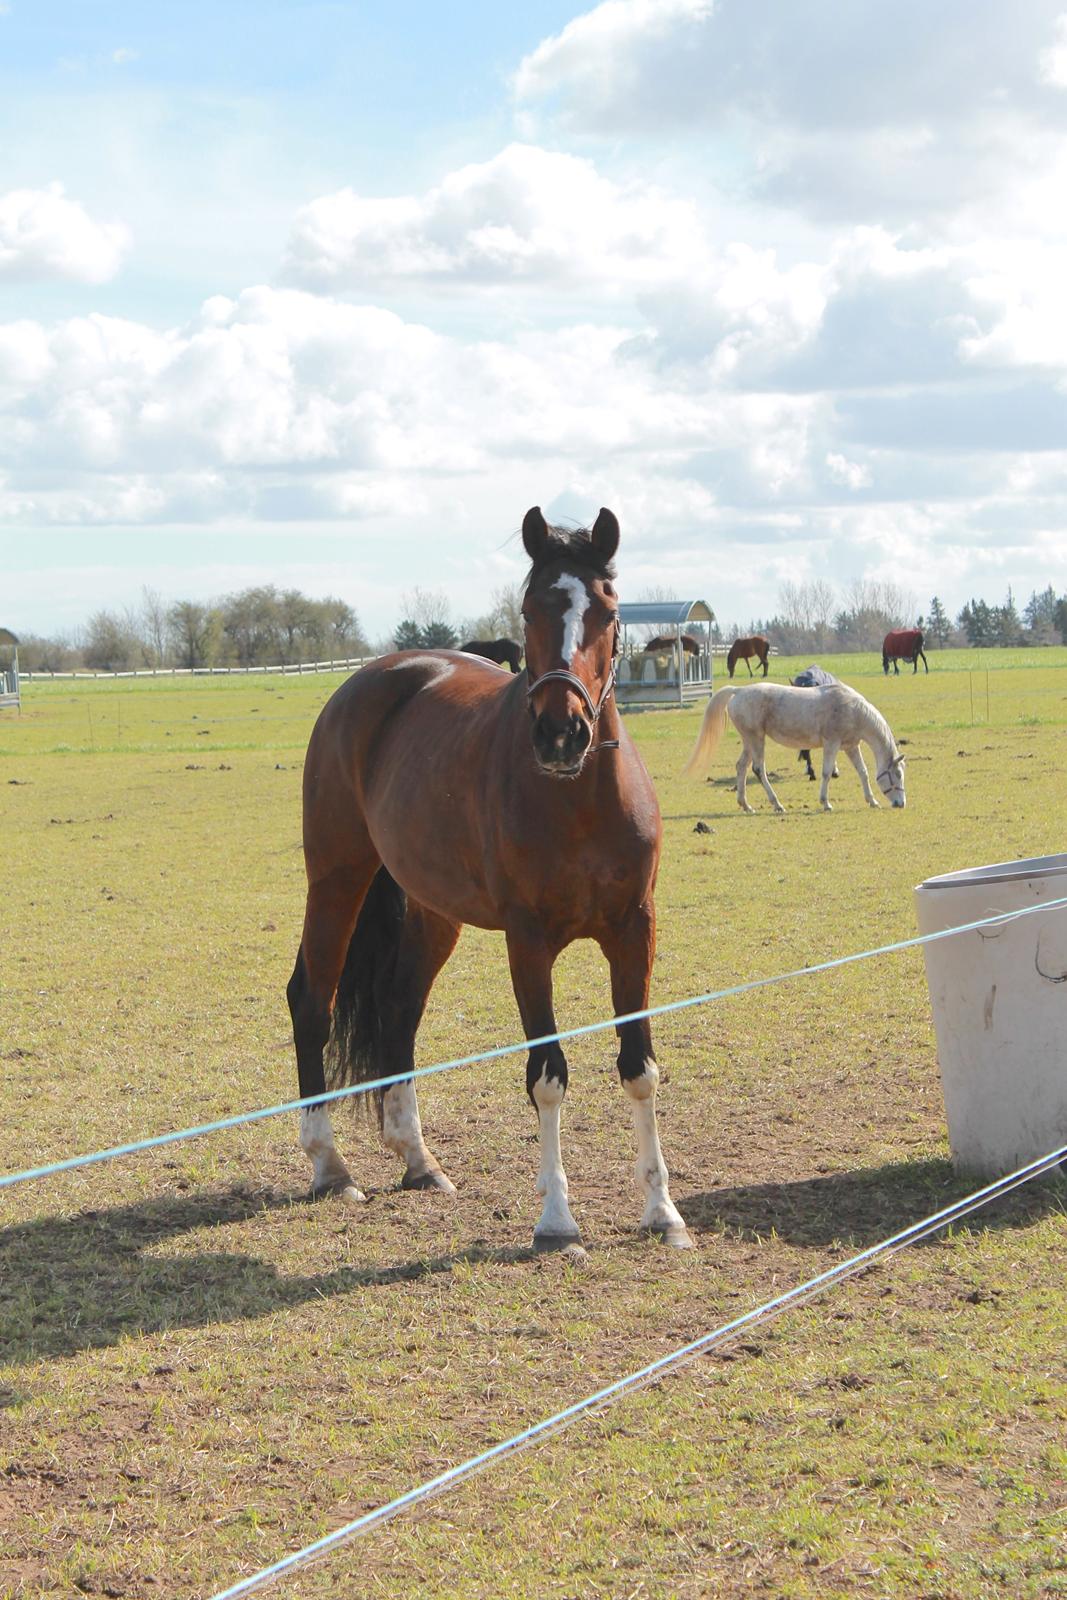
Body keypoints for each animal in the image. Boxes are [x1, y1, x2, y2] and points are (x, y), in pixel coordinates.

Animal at [286, 505, 694, 1254]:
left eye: (607, 611)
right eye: (530, 608)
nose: (561, 733)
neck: (579, 798)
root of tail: (372, 678)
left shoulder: (634, 931)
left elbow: (639, 1067)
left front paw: (662, 1212)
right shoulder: (527, 942)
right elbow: (548, 1075)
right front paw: (557, 1221)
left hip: (431, 911)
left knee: (399, 1007)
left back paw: (419, 1160)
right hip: (336, 879)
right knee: (312, 1001)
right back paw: (330, 1166)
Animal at [687, 684, 908, 819]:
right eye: (897, 775)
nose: (901, 803)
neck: (853, 710)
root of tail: (738, 691)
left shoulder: (851, 746)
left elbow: (863, 772)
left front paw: (872, 801)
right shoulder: (832, 743)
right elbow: (827, 773)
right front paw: (825, 803)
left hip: (750, 741)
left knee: (741, 767)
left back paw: (746, 805)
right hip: (756, 739)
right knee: (758, 769)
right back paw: (777, 804)